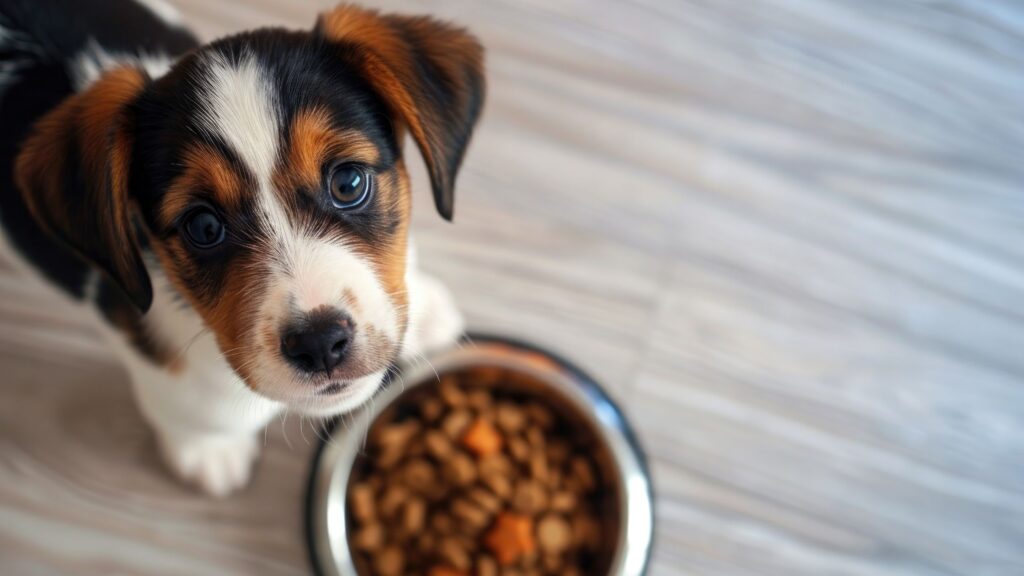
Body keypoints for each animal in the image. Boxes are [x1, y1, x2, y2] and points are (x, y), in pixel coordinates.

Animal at [0, 0, 483, 494]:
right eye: (204, 226)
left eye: (348, 182)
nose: (319, 344)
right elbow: (191, 408)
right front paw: (208, 452)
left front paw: (424, 311)